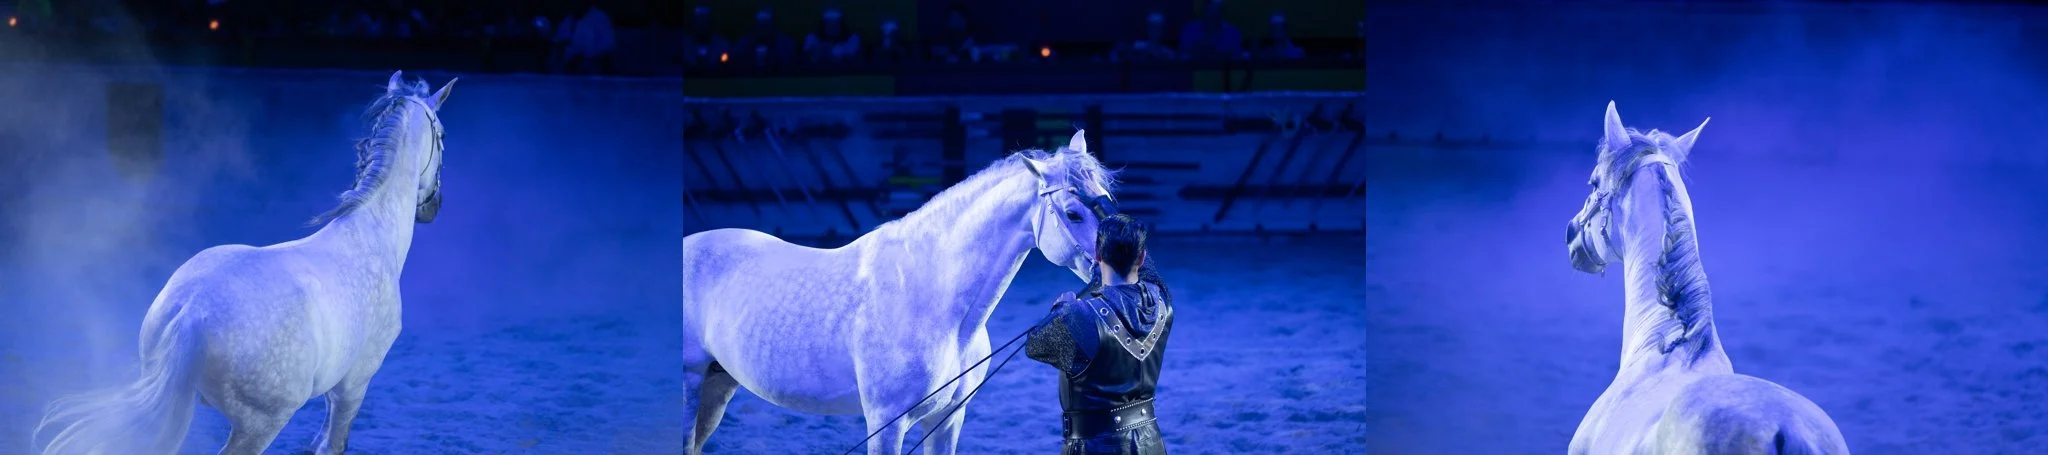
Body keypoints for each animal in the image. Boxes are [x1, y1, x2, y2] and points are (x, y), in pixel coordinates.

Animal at [32, 71, 454, 455]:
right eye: (443, 136)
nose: (433, 207)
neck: (371, 233)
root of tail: (192, 312)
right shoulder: (354, 384)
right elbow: (335, 443)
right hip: (260, 424)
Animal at [684, 131, 1118, 455]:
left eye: (1108, 198)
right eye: (1073, 213)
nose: (1118, 268)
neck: (934, 303)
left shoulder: (947, 421)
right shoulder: (885, 424)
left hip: (718, 384)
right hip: (692, 384)